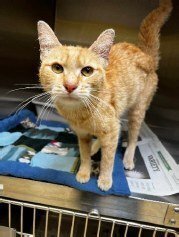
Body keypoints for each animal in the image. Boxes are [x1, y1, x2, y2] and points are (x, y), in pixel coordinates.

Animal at [37, 0, 172, 191]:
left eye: (87, 71)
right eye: (57, 68)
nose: (70, 85)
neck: (81, 114)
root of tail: (145, 54)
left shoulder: (112, 128)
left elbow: (108, 158)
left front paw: (105, 179)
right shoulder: (82, 135)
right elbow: (85, 154)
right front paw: (84, 172)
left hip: (137, 110)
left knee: (132, 136)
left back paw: (128, 157)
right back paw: (96, 145)